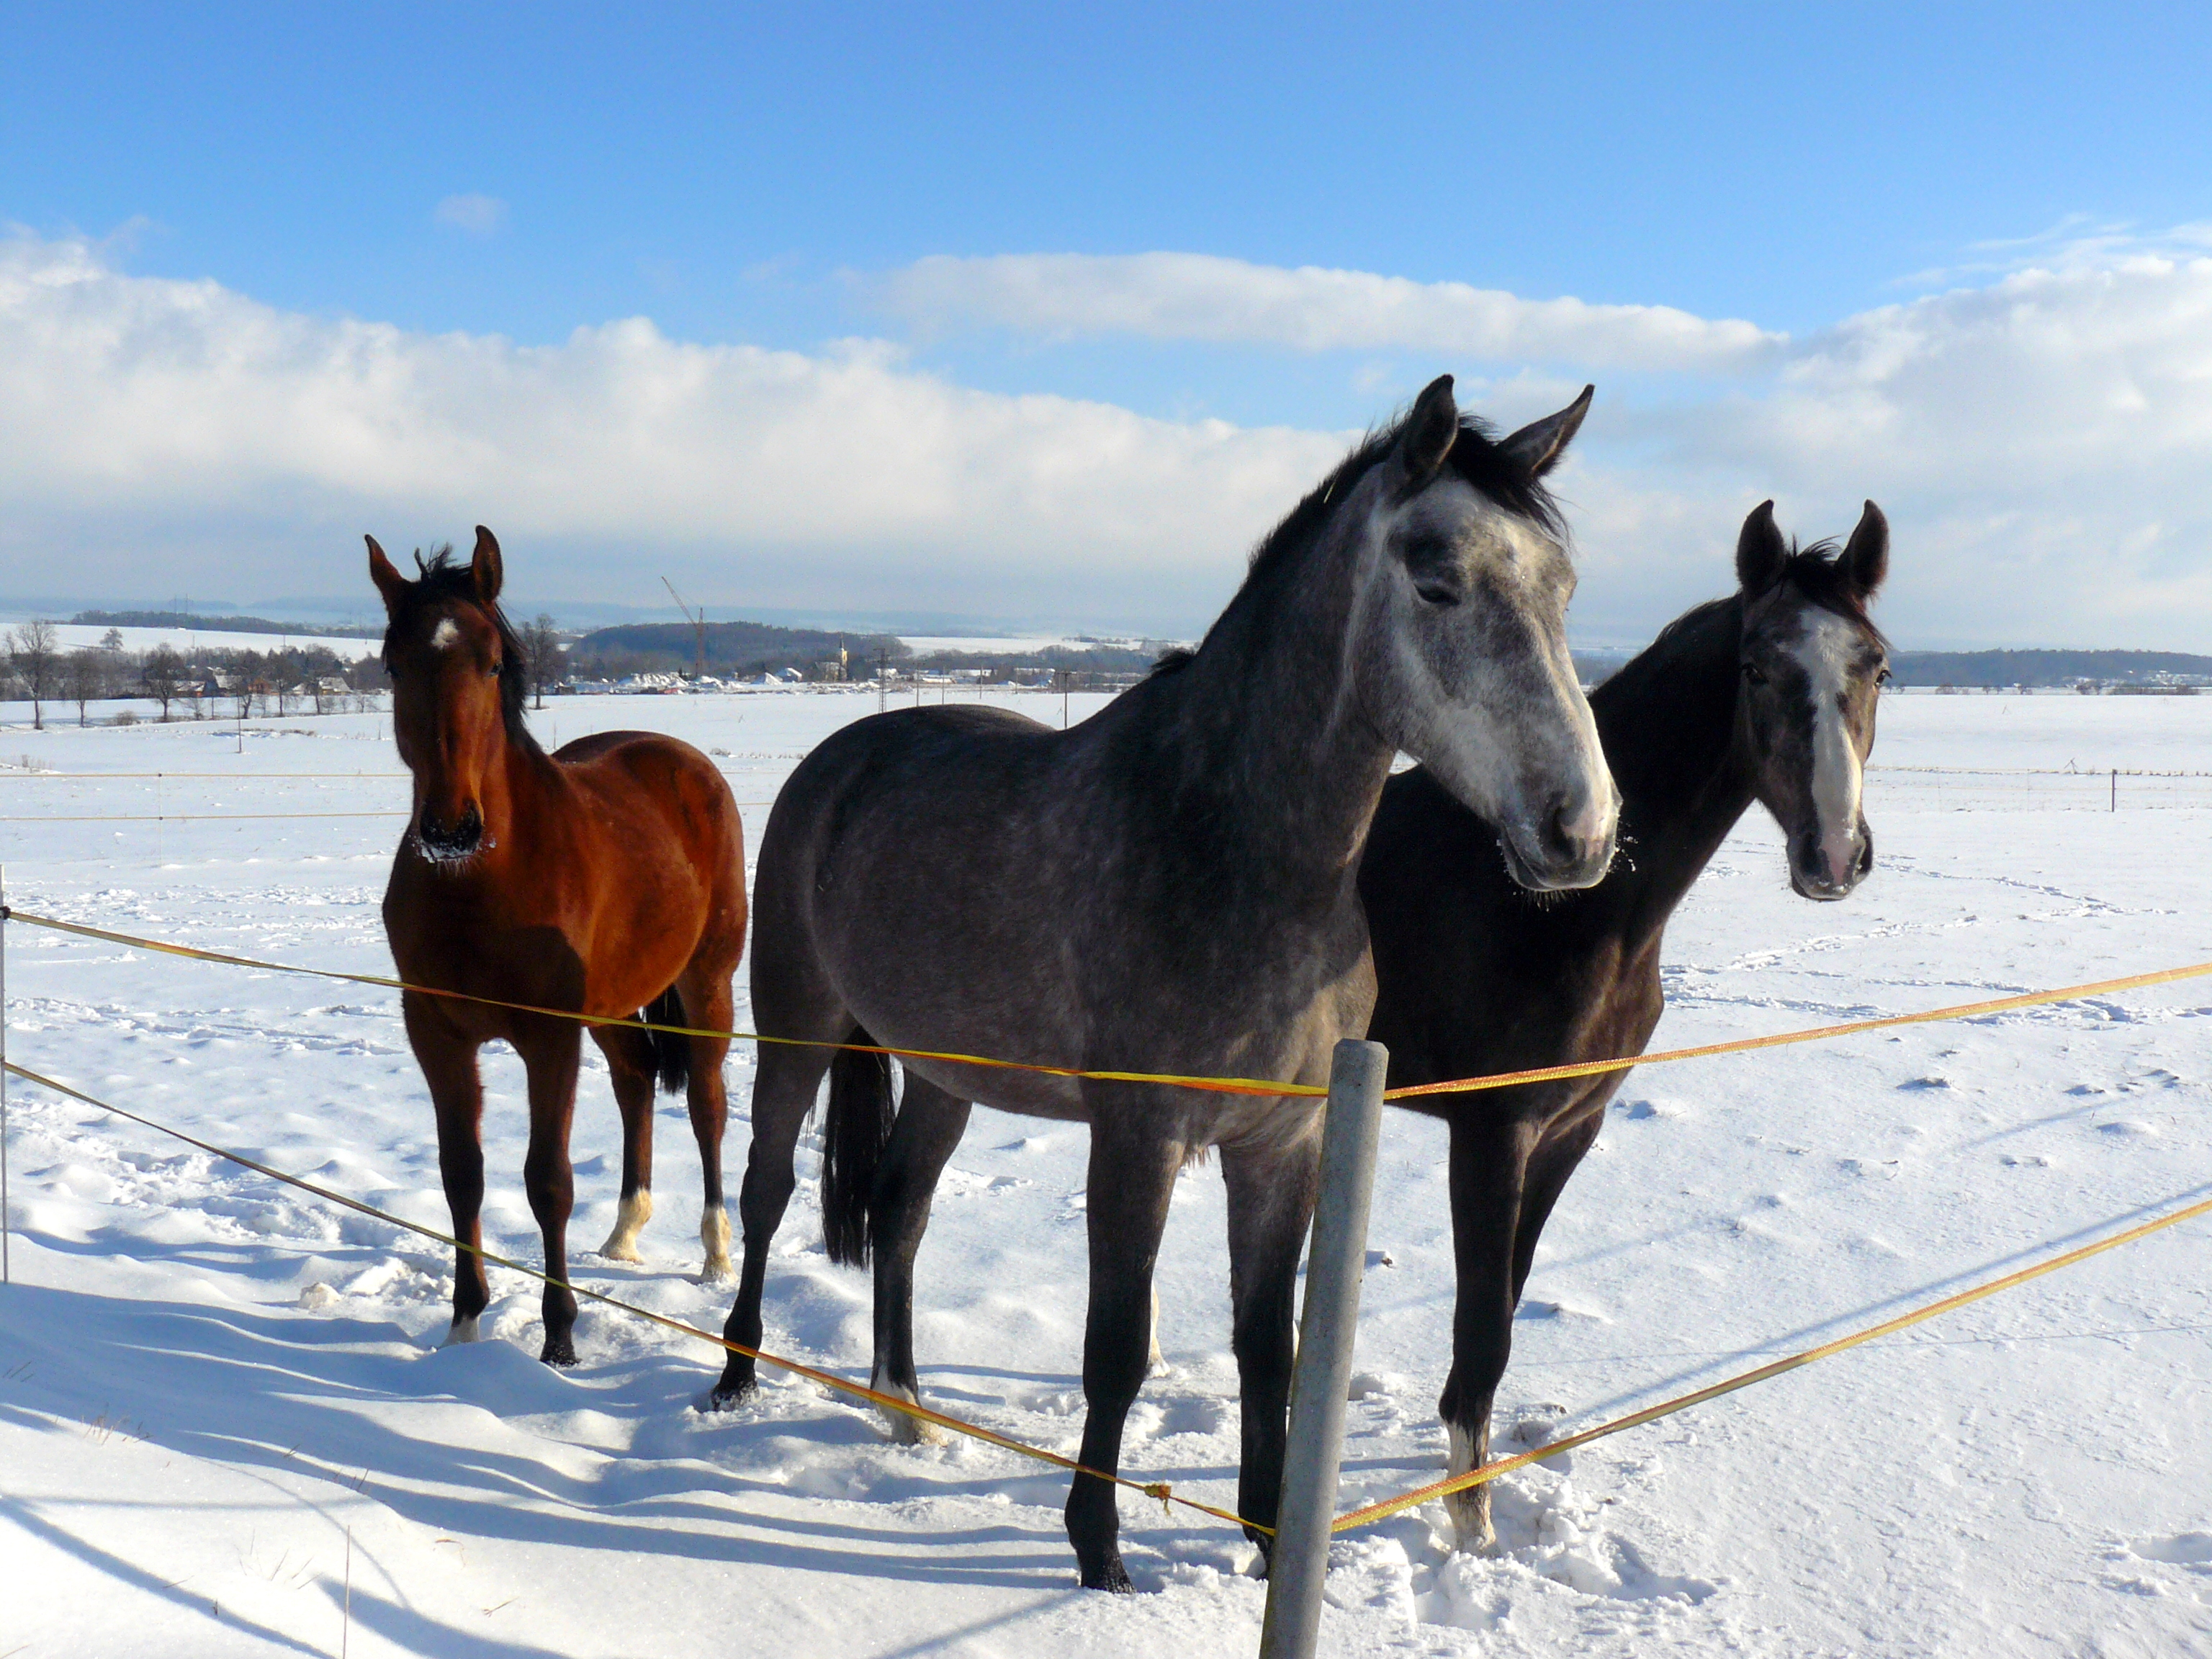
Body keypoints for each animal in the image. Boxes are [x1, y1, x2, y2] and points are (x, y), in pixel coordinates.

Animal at [364, 529, 743, 1362]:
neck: (481, 882)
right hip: (613, 1005)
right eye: (394, 664)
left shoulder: (549, 1038)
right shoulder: (436, 1035)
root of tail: (682, 757)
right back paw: (625, 1233)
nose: (450, 827)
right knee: (636, 1079)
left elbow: (549, 1181)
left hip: (707, 980)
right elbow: (462, 1174)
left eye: (492, 662)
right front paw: (465, 1323)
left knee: (707, 1102)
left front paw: (559, 1339)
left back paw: (715, 1252)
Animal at [716, 380, 1619, 1601]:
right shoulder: (1138, 1136)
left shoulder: (1281, 1143)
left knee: (900, 1214)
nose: (1582, 831)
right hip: (799, 1031)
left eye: (1563, 588)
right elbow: (1118, 1347)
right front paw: (1099, 1555)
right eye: (1438, 581)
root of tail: (840, 759)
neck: (1235, 849)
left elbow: (1266, 1346)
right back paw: (733, 1378)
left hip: (945, 1074)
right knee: (764, 1190)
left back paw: (905, 1408)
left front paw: (1269, 1540)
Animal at [1362, 500, 1884, 1557]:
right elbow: (1481, 1326)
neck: (1564, 905)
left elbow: (1508, 1301)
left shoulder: (1571, 1128)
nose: (1833, 856)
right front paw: (1474, 1531)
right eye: (1757, 667)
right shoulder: (1492, 1133)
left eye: (1879, 665)